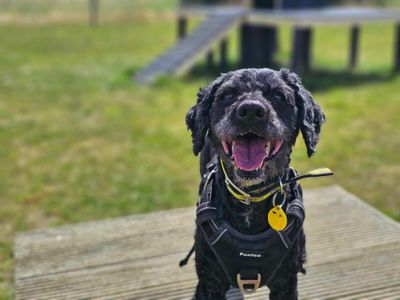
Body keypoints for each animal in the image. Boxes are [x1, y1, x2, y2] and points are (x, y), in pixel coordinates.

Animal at [184, 68, 324, 300]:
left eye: (278, 95)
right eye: (227, 95)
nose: (250, 110)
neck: (249, 200)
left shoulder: (286, 282)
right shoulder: (209, 282)